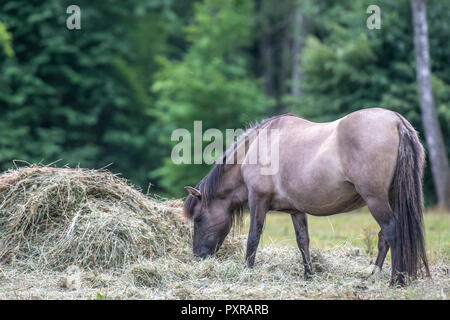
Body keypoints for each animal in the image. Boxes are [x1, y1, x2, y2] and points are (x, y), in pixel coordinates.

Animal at [182, 107, 428, 284]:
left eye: (198, 219)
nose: (198, 256)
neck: (257, 147)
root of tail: (397, 121)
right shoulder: (296, 210)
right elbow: (303, 241)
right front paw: (308, 275)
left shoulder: (258, 201)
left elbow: (253, 238)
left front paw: (247, 271)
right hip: (392, 198)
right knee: (384, 236)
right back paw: (374, 275)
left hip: (375, 199)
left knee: (391, 231)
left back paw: (395, 280)